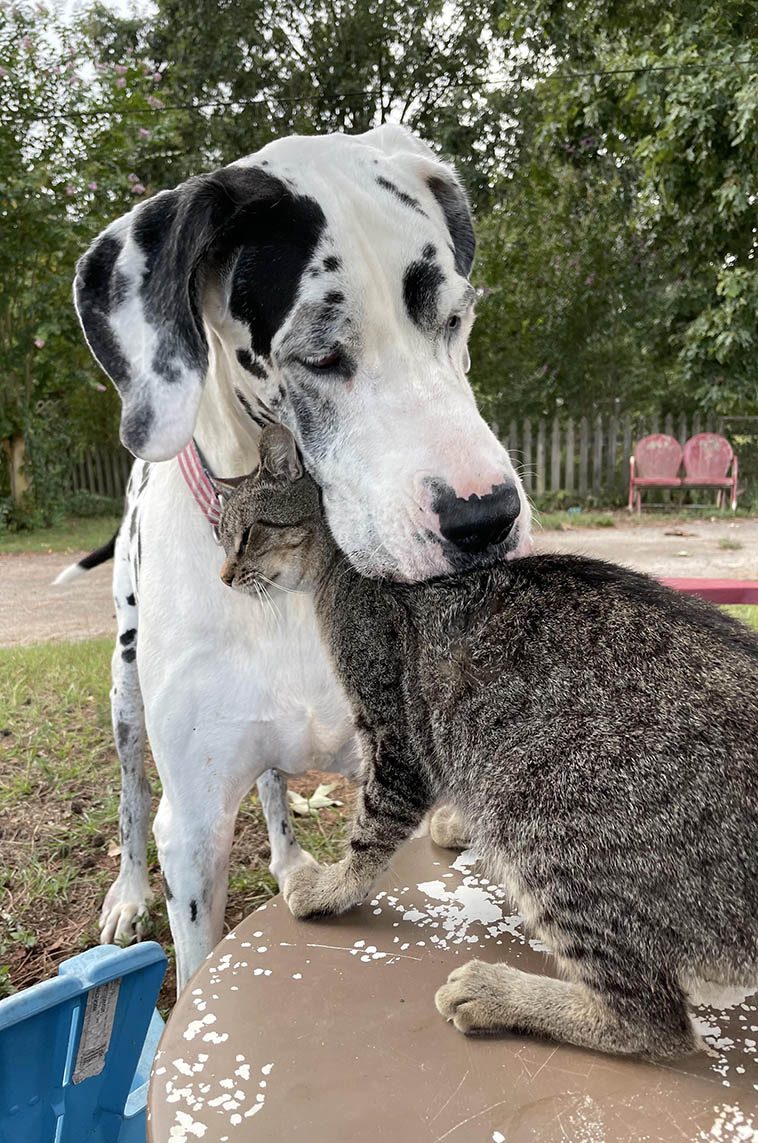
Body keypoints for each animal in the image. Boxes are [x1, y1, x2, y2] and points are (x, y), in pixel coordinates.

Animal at [59, 125, 530, 992]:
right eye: (318, 356)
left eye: (455, 319)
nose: (487, 517)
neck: (296, 581)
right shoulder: (195, 824)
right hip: (124, 691)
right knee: (133, 796)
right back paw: (127, 892)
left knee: (277, 785)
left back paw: (285, 859)